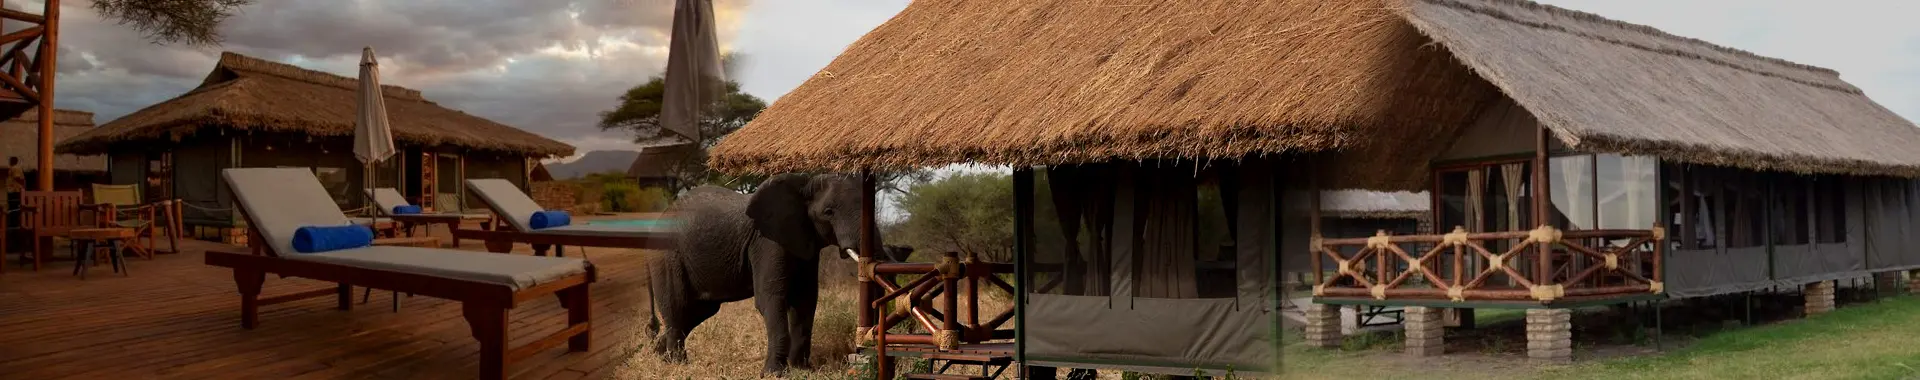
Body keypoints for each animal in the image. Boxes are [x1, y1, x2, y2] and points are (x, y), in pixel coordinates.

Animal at [645, 173, 883, 376]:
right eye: (828, 212)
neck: (804, 183)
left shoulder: (805, 242)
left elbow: (805, 299)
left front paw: (803, 370)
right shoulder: (767, 242)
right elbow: (771, 297)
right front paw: (774, 374)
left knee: (698, 311)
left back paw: (659, 356)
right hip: (667, 256)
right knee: (677, 306)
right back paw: (677, 364)